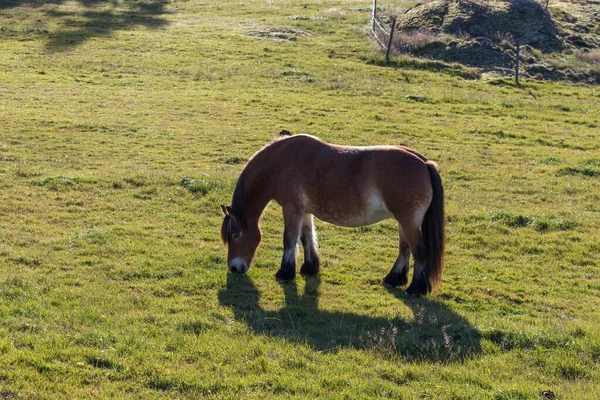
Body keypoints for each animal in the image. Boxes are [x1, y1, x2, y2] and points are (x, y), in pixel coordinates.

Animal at [220, 132, 446, 296]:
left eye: (235, 235)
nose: (234, 268)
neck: (280, 163)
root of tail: (424, 163)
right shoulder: (304, 211)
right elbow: (306, 237)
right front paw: (309, 268)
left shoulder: (292, 209)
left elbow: (289, 240)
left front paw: (285, 273)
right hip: (403, 221)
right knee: (405, 248)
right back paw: (393, 279)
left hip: (408, 221)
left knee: (419, 250)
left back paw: (416, 288)